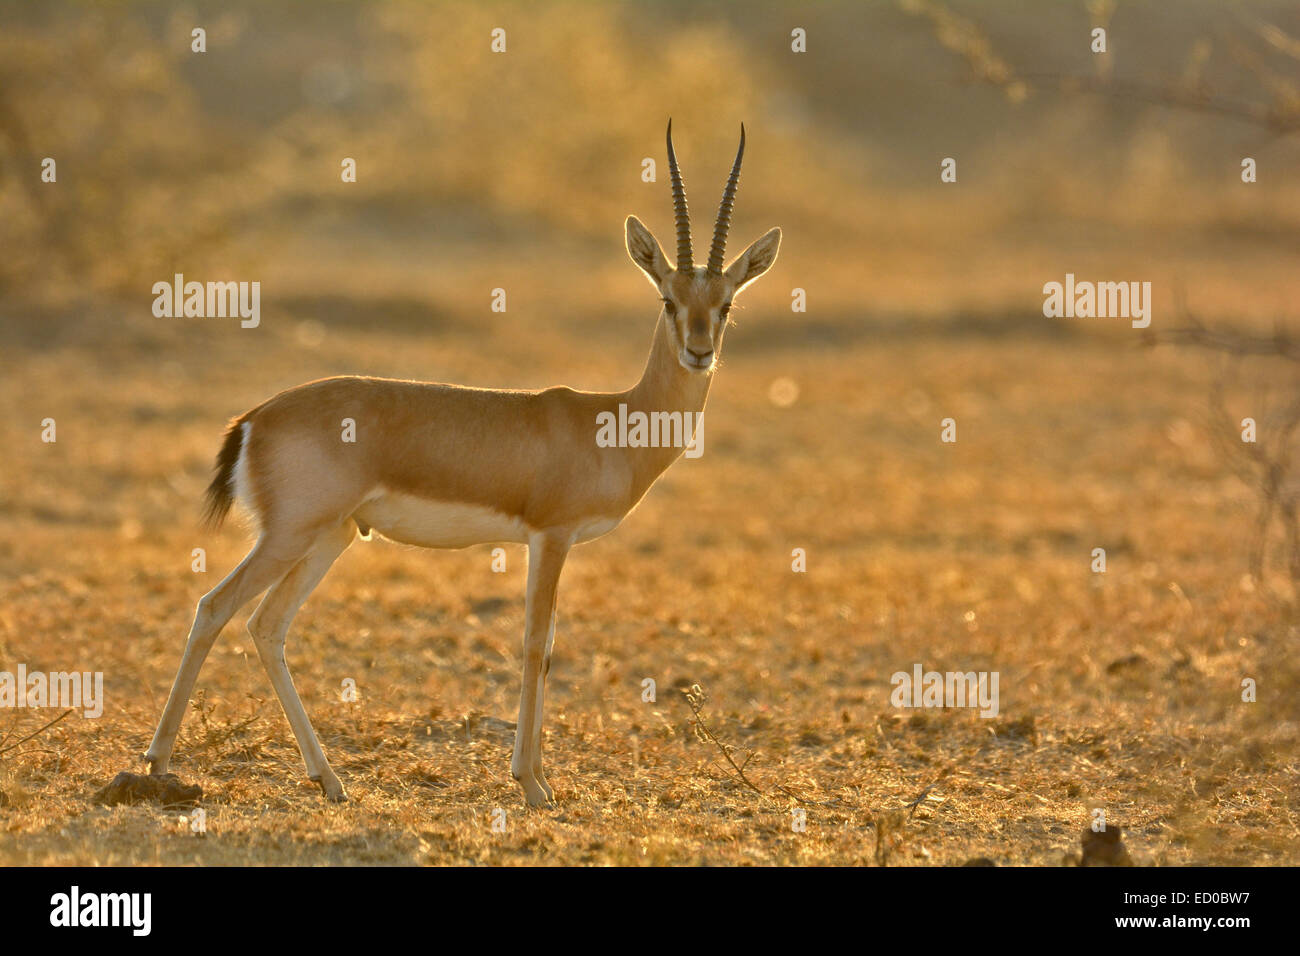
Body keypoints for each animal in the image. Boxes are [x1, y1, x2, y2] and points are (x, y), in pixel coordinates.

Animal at [143, 121, 781, 807]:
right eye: (667, 299)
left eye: (726, 304)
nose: (699, 352)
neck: (613, 423)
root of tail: (254, 417)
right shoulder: (551, 536)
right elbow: (535, 646)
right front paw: (532, 785)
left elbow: (545, 647)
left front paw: (537, 778)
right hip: (290, 535)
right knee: (215, 607)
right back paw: (158, 762)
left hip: (329, 537)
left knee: (267, 625)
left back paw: (330, 780)